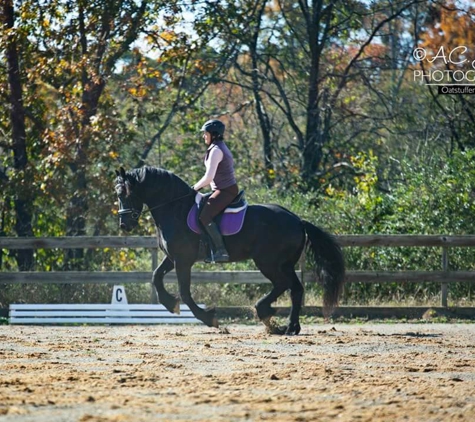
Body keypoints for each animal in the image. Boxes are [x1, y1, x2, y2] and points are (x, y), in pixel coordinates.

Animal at [115, 166, 346, 334]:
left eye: (126, 193)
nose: (124, 225)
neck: (175, 209)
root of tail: (297, 220)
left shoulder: (183, 260)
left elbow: (185, 293)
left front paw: (209, 319)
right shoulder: (173, 258)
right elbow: (156, 277)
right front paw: (171, 304)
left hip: (268, 262)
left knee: (283, 284)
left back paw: (267, 314)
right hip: (284, 264)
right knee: (295, 288)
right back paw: (290, 326)